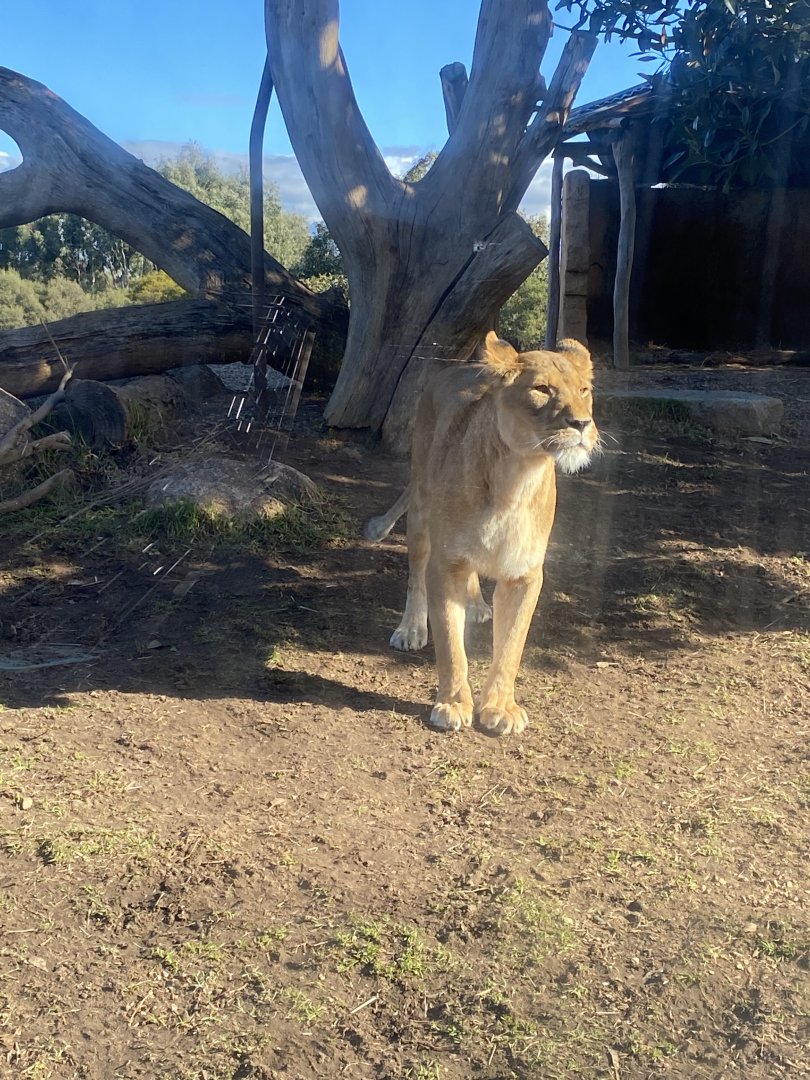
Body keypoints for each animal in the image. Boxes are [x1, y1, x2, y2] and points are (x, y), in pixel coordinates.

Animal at [365, 331, 599, 736]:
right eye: (541, 389)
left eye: (584, 390)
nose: (582, 424)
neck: (516, 479)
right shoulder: (445, 563)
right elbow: (450, 644)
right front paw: (453, 704)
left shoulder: (525, 574)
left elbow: (511, 647)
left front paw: (500, 707)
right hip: (421, 506)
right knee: (415, 574)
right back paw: (411, 628)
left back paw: (475, 605)